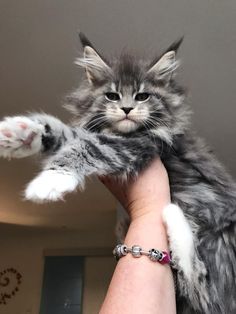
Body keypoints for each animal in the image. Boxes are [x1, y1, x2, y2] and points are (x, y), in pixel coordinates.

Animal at [0, 33, 236, 312]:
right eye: (112, 96)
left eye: (143, 96)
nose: (126, 109)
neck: (122, 132)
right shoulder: (100, 133)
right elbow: (65, 131)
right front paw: (19, 133)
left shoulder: (138, 144)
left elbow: (87, 147)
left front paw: (51, 179)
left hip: (218, 244)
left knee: (206, 293)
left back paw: (173, 216)